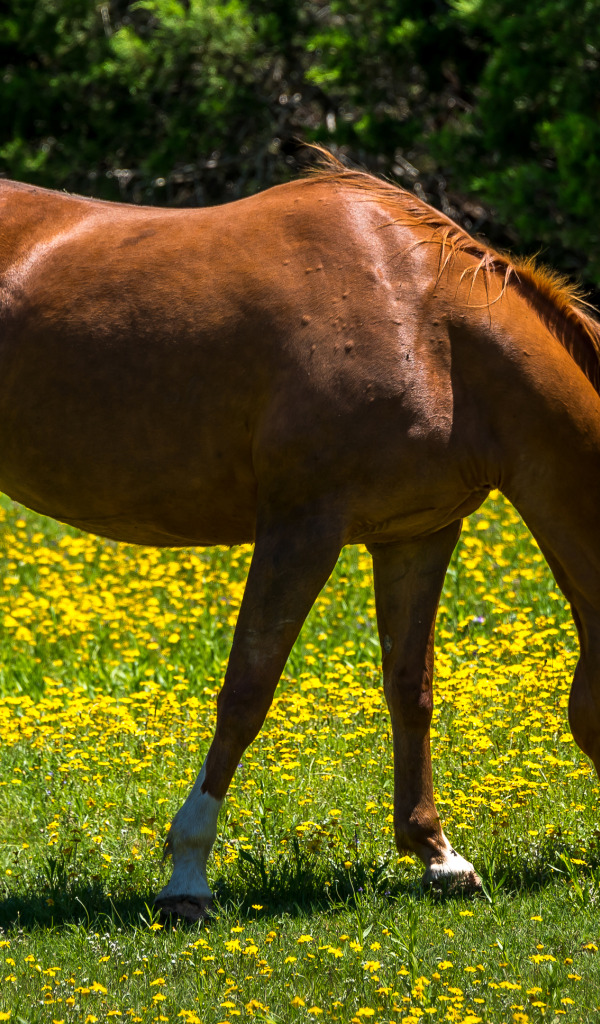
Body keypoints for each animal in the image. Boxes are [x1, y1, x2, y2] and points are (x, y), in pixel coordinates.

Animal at [1, 153, 597, 921]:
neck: (427, 326)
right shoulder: (301, 527)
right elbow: (246, 693)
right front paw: (188, 875)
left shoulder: (419, 534)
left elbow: (410, 688)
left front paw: (438, 856)